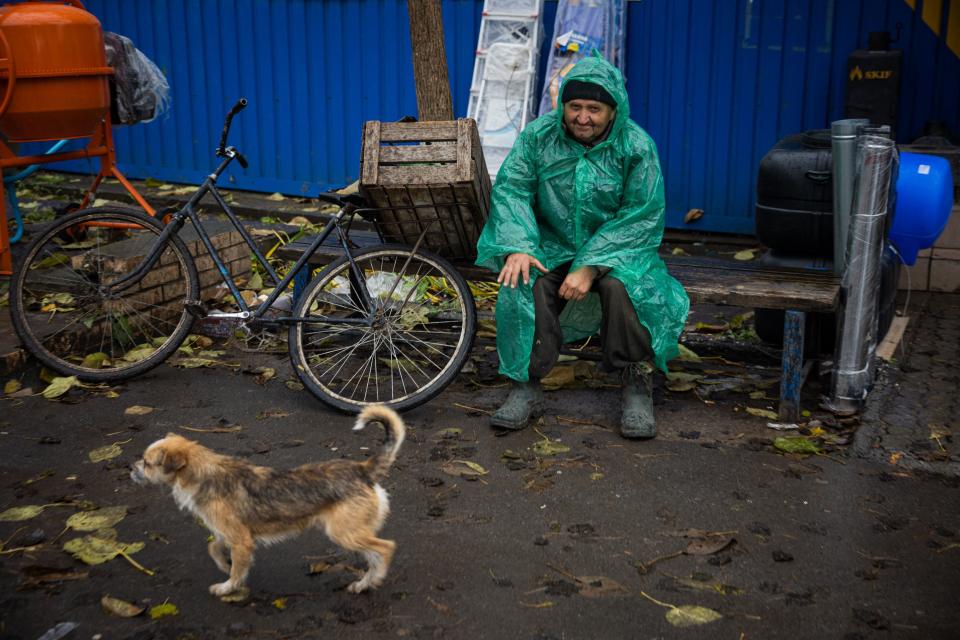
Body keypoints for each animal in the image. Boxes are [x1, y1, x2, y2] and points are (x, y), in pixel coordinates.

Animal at [131, 404, 404, 596]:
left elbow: (237, 570)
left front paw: (228, 586)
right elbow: (214, 548)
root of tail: (363, 469)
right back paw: (364, 583)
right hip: (354, 533)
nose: (130, 468)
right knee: (374, 555)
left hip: (344, 533)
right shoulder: (230, 534)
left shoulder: (241, 541)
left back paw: (377, 577)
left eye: (147, 463)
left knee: (386, 547)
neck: (204, 472)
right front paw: (224, 565)